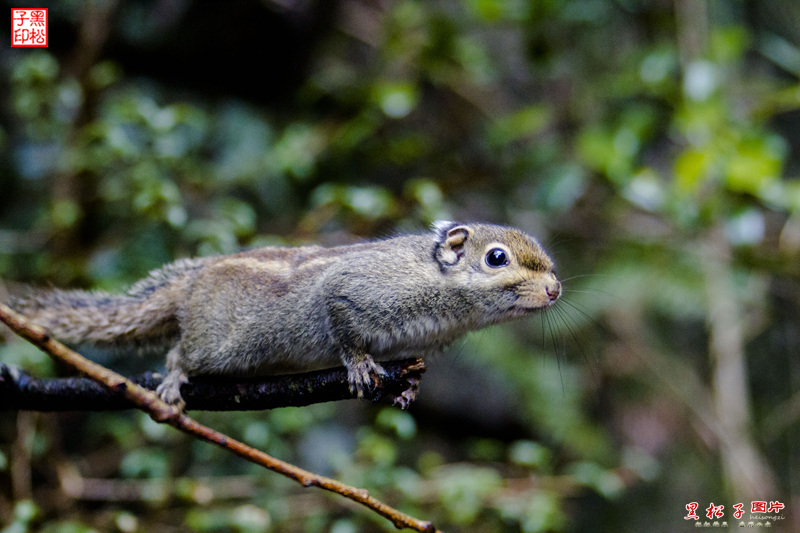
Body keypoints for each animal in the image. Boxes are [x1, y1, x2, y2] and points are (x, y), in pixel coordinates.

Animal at [10, 220, 564, 408]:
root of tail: (192, 283)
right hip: (217, 343)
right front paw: (358, 365)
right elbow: (341, 318)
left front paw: (408, 388)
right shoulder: (355, 291)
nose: (555, 288)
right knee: (180, 351)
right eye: (497, 258)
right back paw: (172, 378)